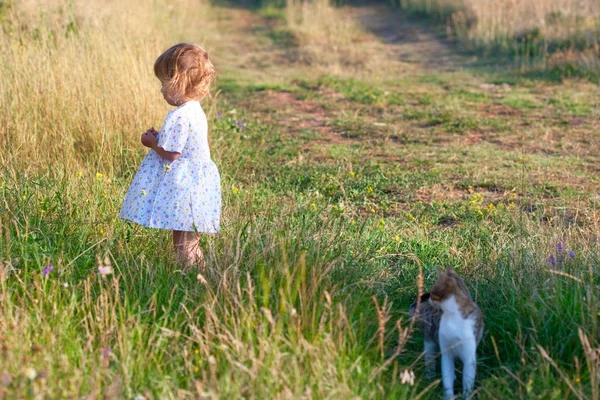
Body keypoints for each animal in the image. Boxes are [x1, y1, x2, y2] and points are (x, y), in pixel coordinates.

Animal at [410, 268, 486, 398]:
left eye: (433, 292)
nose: (429, 298)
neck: (452, 315)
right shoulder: (446, 352)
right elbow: (447, 378)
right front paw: (449, 396)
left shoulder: (469, 357)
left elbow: (467, 381)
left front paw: (466, 396)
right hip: (429, 341)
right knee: (430, 360)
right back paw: (429, 378)